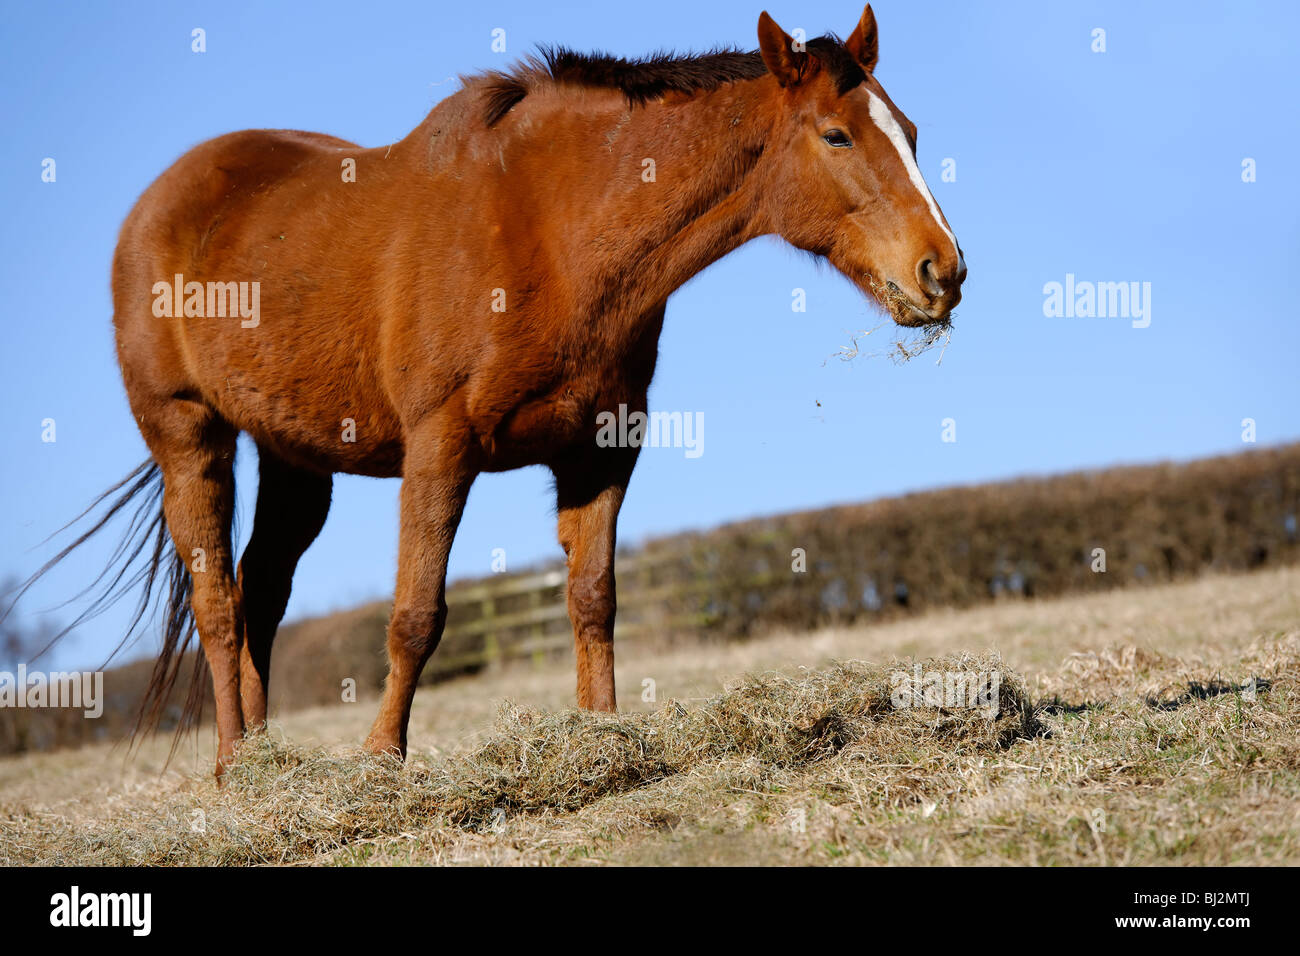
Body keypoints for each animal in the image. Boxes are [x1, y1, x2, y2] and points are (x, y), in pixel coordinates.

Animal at [63, 5, 967, 780]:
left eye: (914, 134)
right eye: (836, 134)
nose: (943, 271)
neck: (549, 228)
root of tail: (160, 203)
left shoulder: (600, 451)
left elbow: (593, 598)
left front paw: (603, 738)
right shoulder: (441, 448)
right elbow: (416, 616)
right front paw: (381, 762)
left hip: (297, 459)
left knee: (260, 595)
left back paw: (261, 762)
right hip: (190, 436)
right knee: (218, 602)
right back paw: (228, 768)